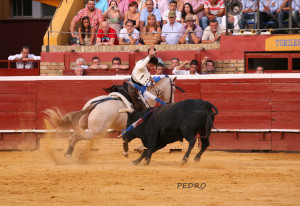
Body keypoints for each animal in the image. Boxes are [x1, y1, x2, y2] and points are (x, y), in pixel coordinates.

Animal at [44, 78, 178, 157]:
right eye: (174, 88)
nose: (171, 102)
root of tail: (94, 104)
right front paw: (139, 148)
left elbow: (125, 137)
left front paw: (126, 151)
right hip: (97, 132)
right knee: (77, 136)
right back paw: (68, 154)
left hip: (83, 125)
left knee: (71, 137)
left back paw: (68, 154)